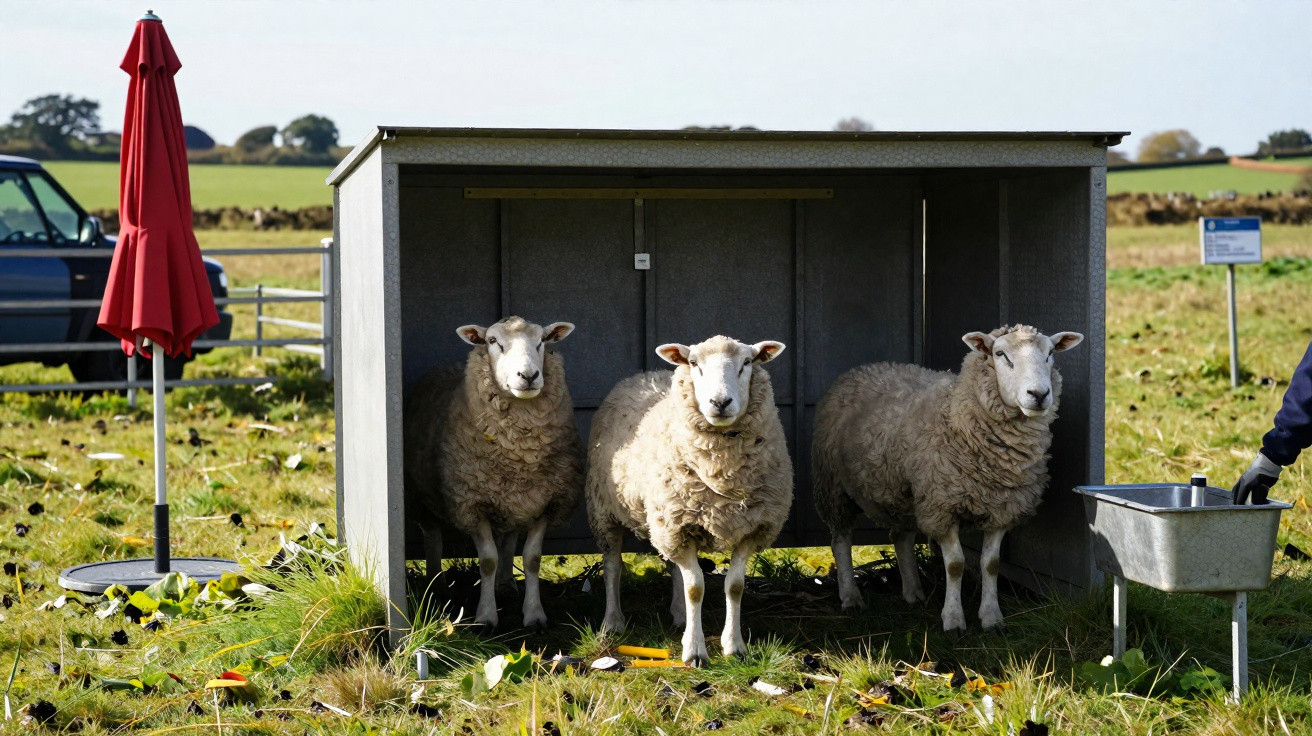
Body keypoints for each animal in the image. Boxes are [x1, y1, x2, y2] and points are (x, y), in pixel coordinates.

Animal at [403, 316, 583, 630]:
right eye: (492, 341)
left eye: (542, 341)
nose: (529, 375)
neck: (520, 453)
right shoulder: (472, 503)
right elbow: (487, 560)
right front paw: (485, 616)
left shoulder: (546, 501)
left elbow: (532, 558)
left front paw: (534, 614)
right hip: (421, 496)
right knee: (432, 535)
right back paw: (436, 585)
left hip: (513, 498)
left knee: (509, 538)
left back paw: (507, 584)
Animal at [586, 335, 793, 667]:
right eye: (694, 363)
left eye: (747, 362)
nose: (720, 403)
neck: (723, 473)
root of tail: (646, 374)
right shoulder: (676, 527)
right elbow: (696, 587)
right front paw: (695, 651)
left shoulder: (751, 529)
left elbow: (734, 586)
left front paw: (734, 646)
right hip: (606, 512)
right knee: (613, 565)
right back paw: (612, 622)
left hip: (667, 518)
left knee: (674, 570)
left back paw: (681, 616)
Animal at [812, 325, 1083, 632]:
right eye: (1000, 354)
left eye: (1050, 353)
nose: (1038, 394)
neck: (956, 416)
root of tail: (865, 367)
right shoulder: (942, 506)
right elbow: (955, 565)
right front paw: (953, 619)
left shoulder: (1001, 508)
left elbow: (991, 564)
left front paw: (991, 617)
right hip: (833, 487)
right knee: (840, 540)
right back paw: (851, 597)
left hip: (905, 492)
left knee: (900, 537)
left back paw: (913, 592)